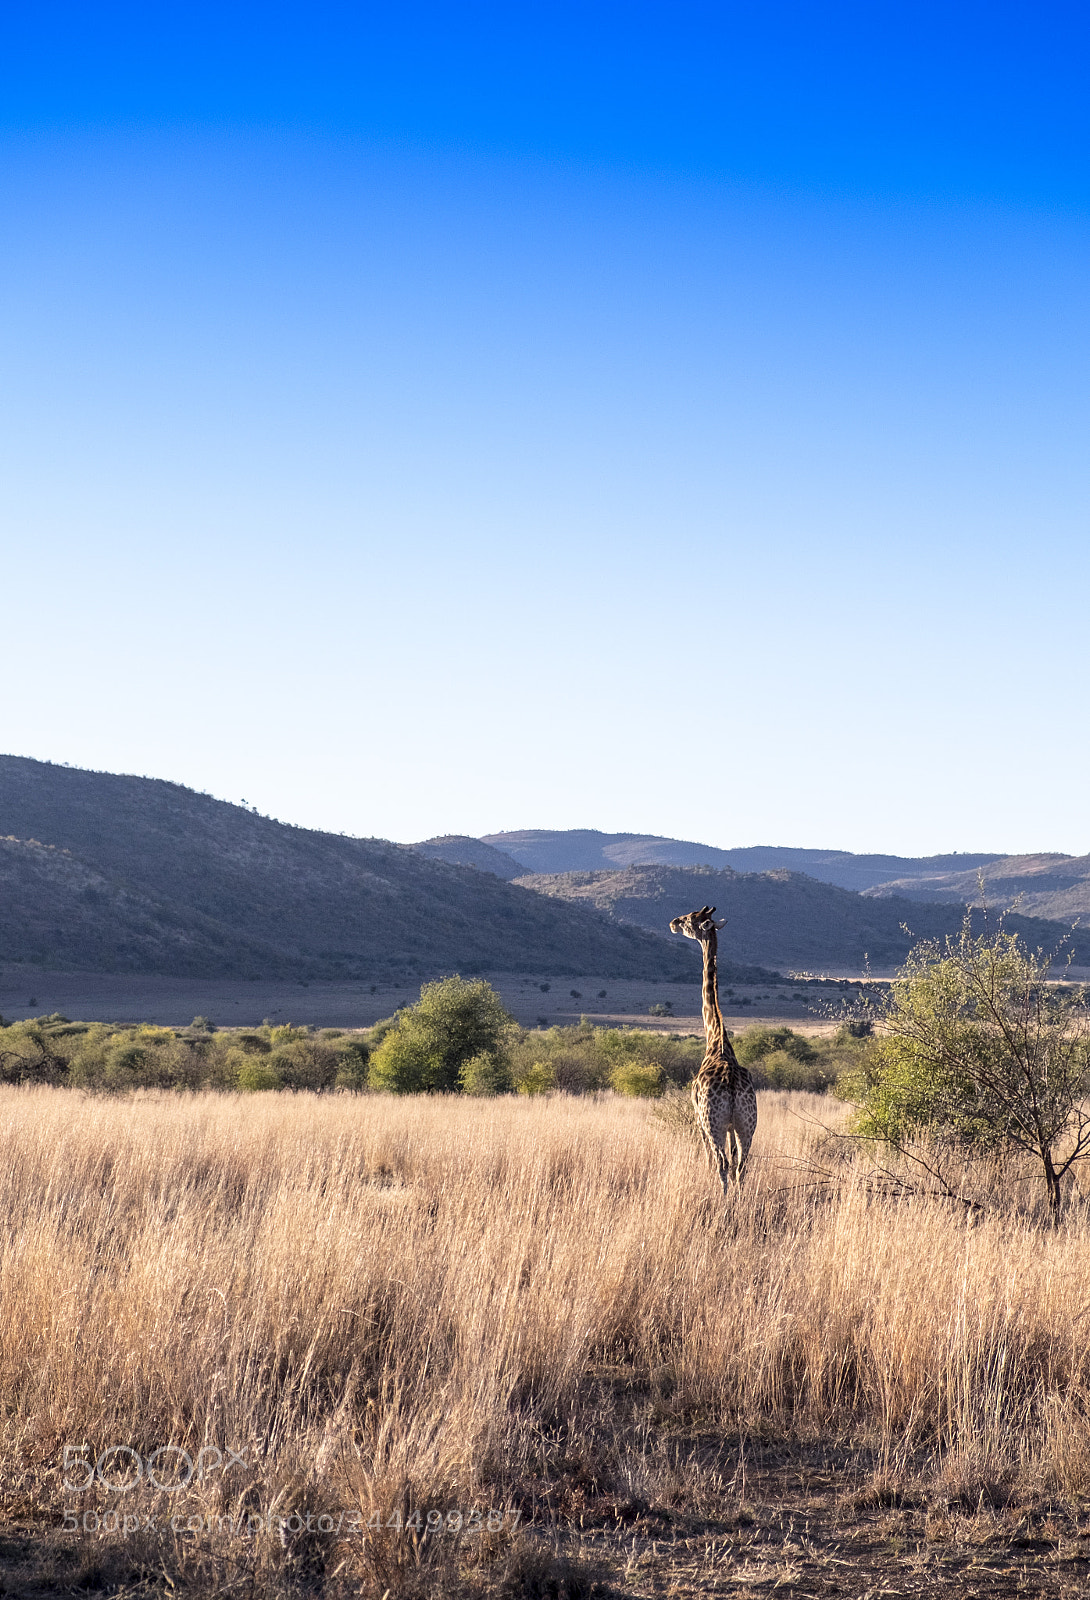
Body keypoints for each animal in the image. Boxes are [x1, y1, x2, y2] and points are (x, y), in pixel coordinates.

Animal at [669, 905, 757, 1192]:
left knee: (722, 1163)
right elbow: (735, 1161)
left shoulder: (699, 1119)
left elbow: (709, 1160)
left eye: (690, 919)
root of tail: (730, 1085)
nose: (673, 922)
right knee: (741, 1165)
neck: (716, 1039)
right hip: (747, 1123)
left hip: (713, 1122)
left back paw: (724, 1200)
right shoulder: (731, 1126)